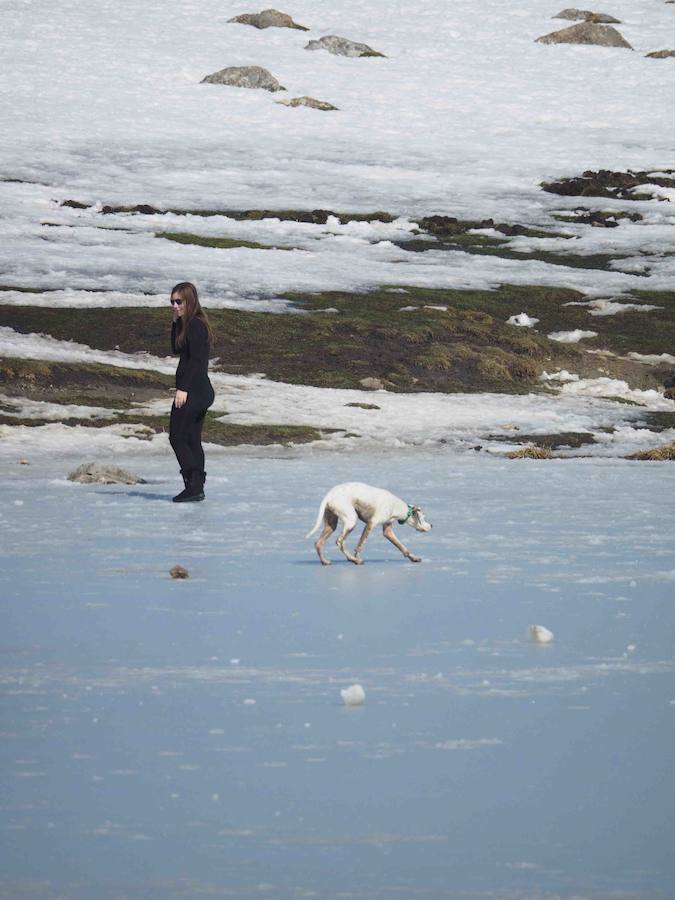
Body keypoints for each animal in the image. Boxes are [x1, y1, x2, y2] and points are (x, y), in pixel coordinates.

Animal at [306, 482, 434, 568]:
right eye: (424, 517)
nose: (432, 525)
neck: (396, 506)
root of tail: (329, 495)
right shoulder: (371, 523)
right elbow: (360, 545)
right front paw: (357, 558)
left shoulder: (387, 531)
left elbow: (402, 547)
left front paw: (413, 558)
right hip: (351, 520)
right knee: (339, 541)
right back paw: (353, 559)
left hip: (331, 525)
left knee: (318, 543)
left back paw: (325, 561)